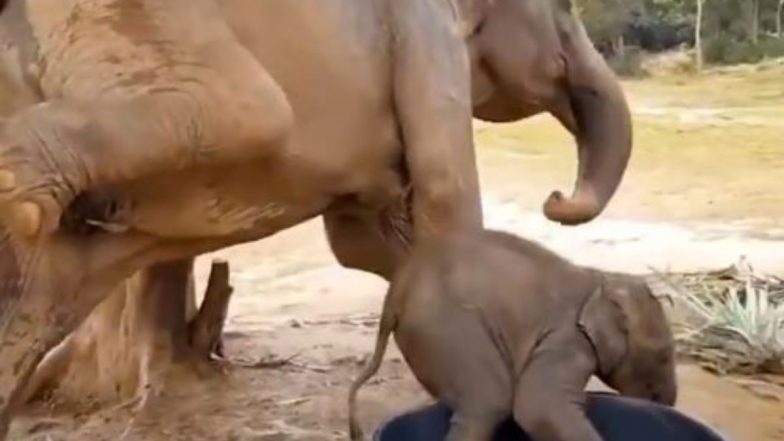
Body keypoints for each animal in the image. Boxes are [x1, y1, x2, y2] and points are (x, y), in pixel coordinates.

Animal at [0, 0, 632, 434]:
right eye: (566, 6)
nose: (556, 198)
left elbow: (365, 241)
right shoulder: (427, 36)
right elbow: (443, 196)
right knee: (246, 108)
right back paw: (15, 183)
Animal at [348, 229, 677, 441]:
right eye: (663, 356)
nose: (667, 405)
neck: (601, 279)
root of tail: (397, 289)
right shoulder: (566, 339)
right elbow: (538, 406)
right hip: (447, 328)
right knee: (487, 402)